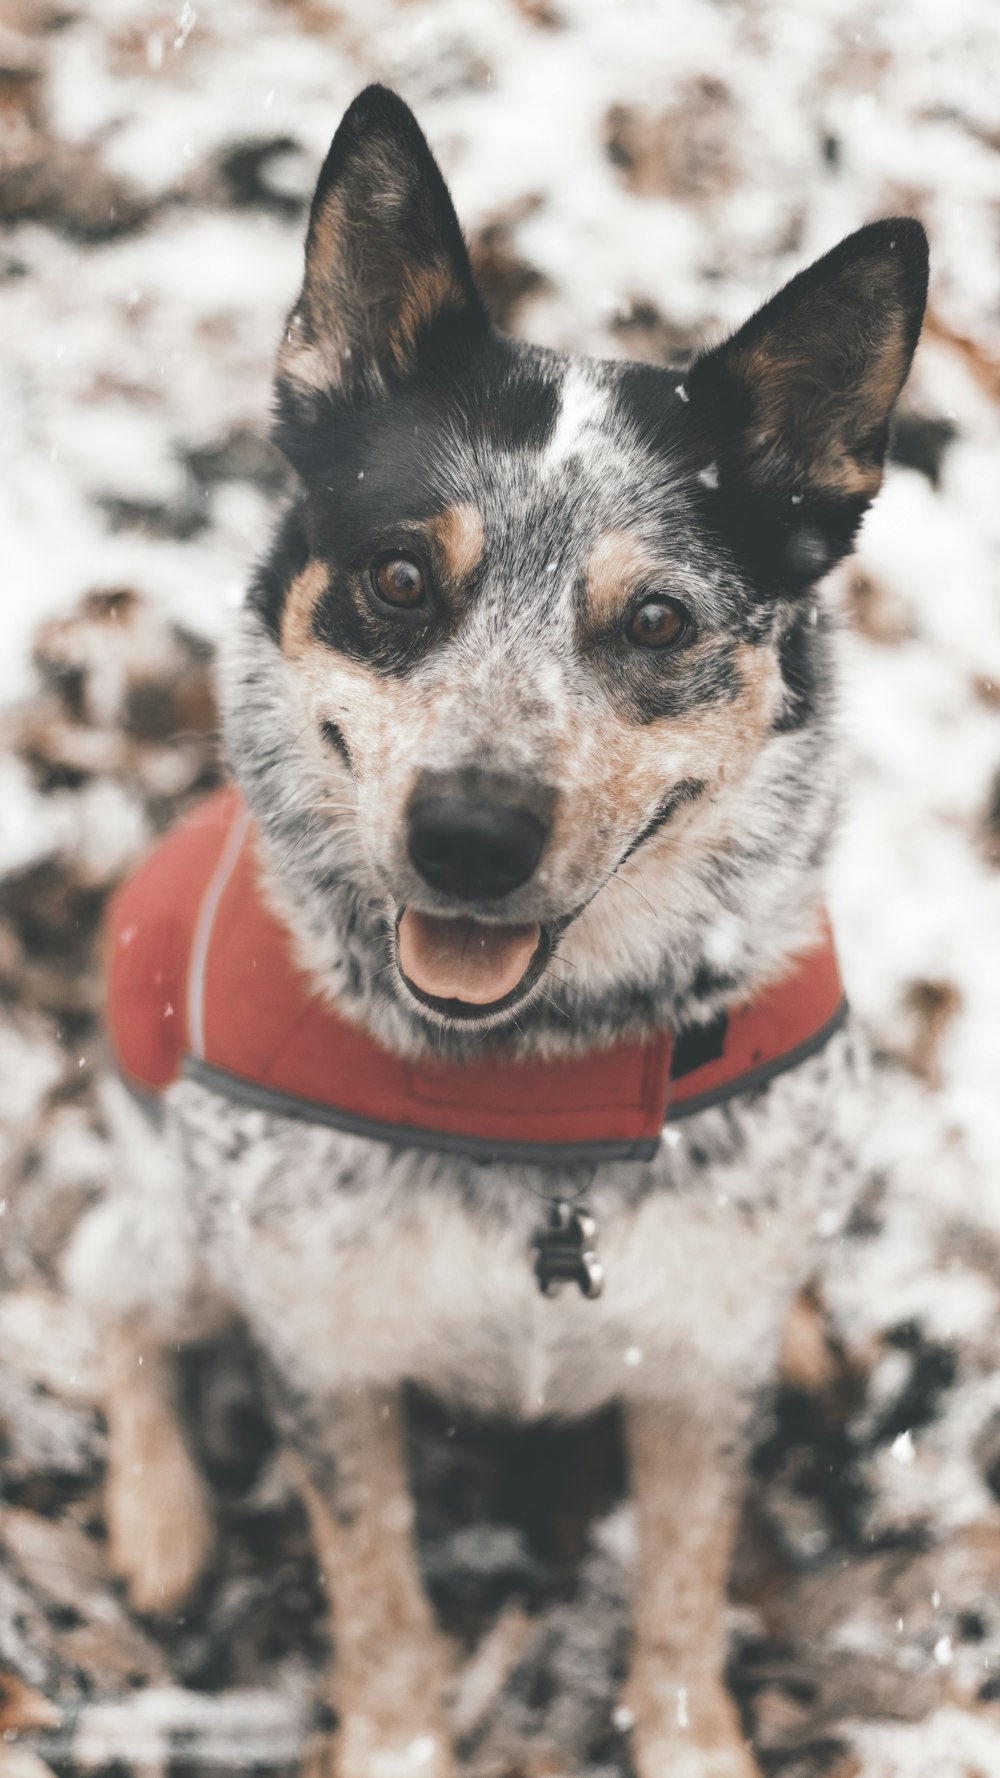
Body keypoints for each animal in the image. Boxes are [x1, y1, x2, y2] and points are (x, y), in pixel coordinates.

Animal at [68, 80, 925, 1778]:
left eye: (657, 621)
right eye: (402, 578)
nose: (467, 835)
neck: (540, 1094)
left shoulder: (698, 1370)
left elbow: (684, 1591)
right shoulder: (324, 1348)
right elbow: (379, 1591)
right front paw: (396, 1737)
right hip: (184, 1228)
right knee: (111, 1291)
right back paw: (159, 1513)